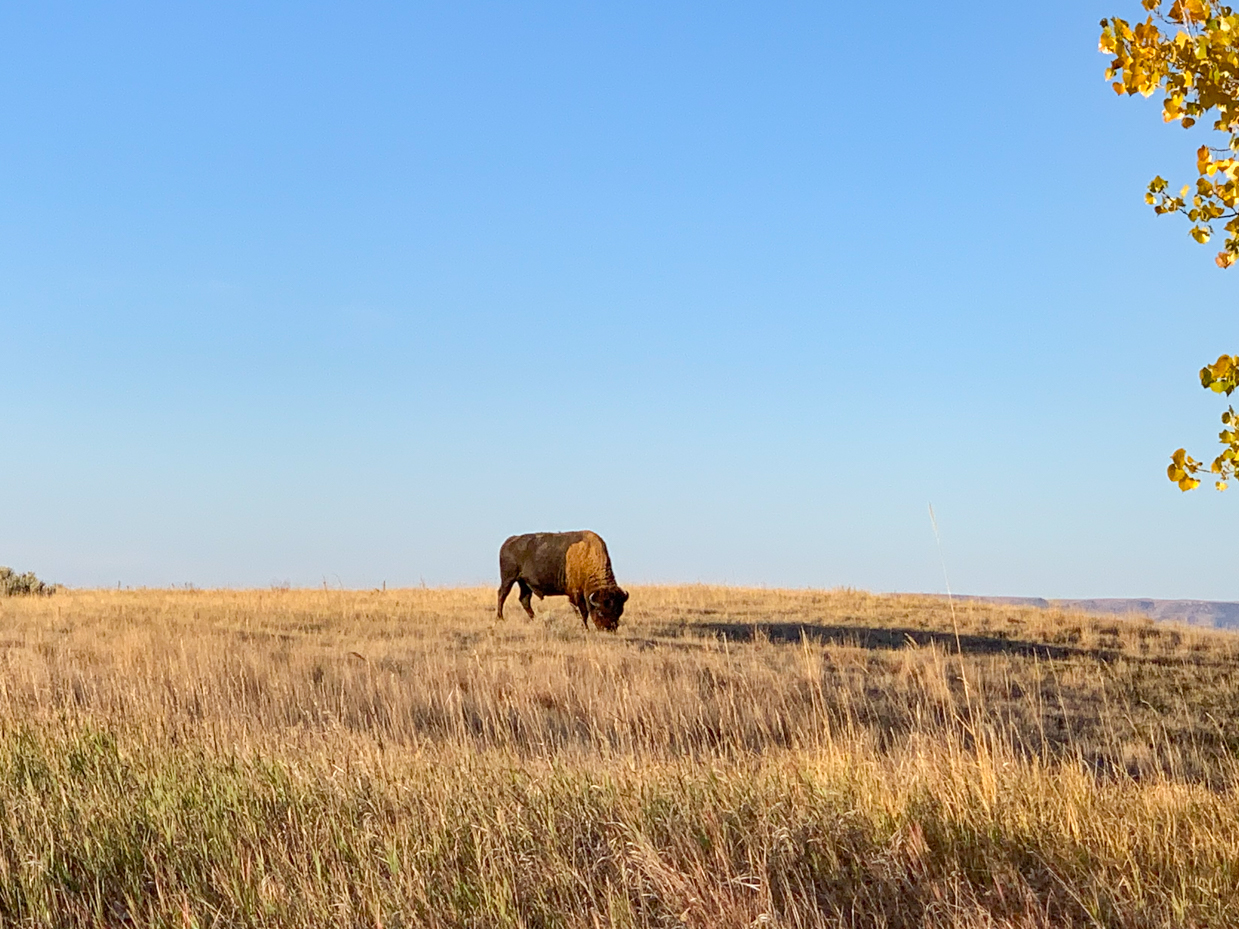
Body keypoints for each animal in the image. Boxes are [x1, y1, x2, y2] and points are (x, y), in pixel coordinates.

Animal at [495, 530, 629, 634]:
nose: (609, 629)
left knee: (524, 600)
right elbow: (583, 612)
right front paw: (585, 628)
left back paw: (535, 620)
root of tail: (509, 541)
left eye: (619, 611)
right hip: (508, 579)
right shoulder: (576, 595)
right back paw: (500, 618)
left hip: (524, 584)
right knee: (502, 594)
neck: (588, 558)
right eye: (601, 612)